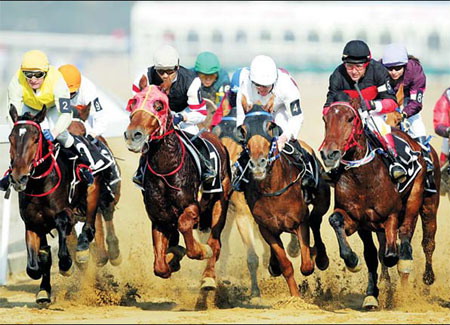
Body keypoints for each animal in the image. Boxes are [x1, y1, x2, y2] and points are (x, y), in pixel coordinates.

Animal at [6, 104, 101, 304]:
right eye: (11, 138)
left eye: (35, 139)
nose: (18, 177)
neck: (40, 184)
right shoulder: (32, 224)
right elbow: (36, 264)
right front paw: (43, 290)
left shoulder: (65, 213)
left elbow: (62, 231)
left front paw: (66, 265)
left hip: (92, 193)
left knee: (89, 229)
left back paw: (83, 251)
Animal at [124, 84, 232, 292]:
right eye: (133, 102)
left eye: (159, 105)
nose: (133, 135)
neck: (165, 169)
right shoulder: (159, 217)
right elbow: (160, 266)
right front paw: (173, 258)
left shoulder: (192, 207)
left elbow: (185, 226)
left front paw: (200, 250)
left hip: (220, 201)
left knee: (215, 242)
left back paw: (208, 277)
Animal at [236, 102, 330, 296]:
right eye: (243, 129)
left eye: (270, 126)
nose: (258, 163)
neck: (273, 189)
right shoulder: (266, 228)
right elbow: (286, 265)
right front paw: (295, 296)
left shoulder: (300, 222)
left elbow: (307, 265)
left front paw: (312, 254)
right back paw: (274, 264)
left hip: (322, 200)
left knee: (315, 220)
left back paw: (321, 257)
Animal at [320, 98, 440, 308]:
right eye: (325, 119)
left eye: (350, 118)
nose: (329, 153)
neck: (363, 177)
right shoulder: (359, 222)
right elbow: (367, 252)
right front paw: (367, 287)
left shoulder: (390, 215)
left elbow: (390, 254)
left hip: (423, 202)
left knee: (422, 240)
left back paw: (423, 278)